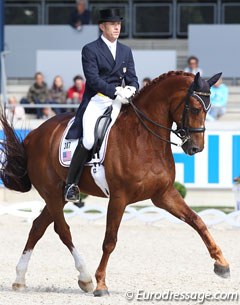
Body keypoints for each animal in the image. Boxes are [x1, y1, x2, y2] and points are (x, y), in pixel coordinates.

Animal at [0, 70, 230, 294]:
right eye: (195, 109)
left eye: (208, 109)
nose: (196, 148)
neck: (144, 138)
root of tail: (33, 135)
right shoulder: (119, 197)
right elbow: (110, 240)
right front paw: (101, 284)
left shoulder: (163, 194)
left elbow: (197, 221)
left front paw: (222, 264)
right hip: (52, 193)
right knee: (63, 230)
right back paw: (85, 277)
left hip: (59, 195)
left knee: (38, 227)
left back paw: (20, 279)